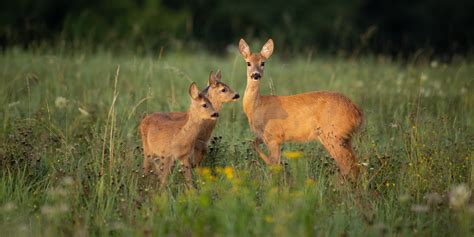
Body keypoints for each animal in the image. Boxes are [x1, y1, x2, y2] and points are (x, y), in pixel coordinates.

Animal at [239, 38, 364, 180]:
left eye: (263, 63)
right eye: (248, 63)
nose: (256, 75)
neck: (256, 107)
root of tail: (357, 113)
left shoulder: (274, 136)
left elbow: (273, 165)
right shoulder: (265, 137)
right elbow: (254, 144)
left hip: (333, 135)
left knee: (347, 165)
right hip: (345, 137)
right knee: (355, 164)